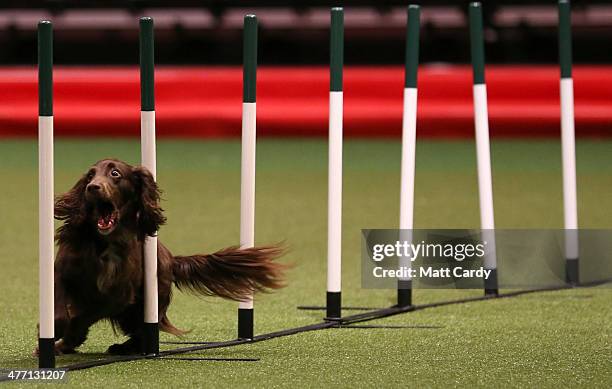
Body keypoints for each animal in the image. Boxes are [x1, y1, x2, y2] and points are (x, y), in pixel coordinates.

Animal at [44, 158, 286, 354]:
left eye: (115, 173)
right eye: (90, 175)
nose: (92, 187)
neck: (104, 244)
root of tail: (171, 259)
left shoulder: (117, 296)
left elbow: (83, 316)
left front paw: (64, 340)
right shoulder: (61, 273)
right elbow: (60, 314)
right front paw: (52, 338)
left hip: (146, 304)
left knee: (143, 333)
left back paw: (122, 348)